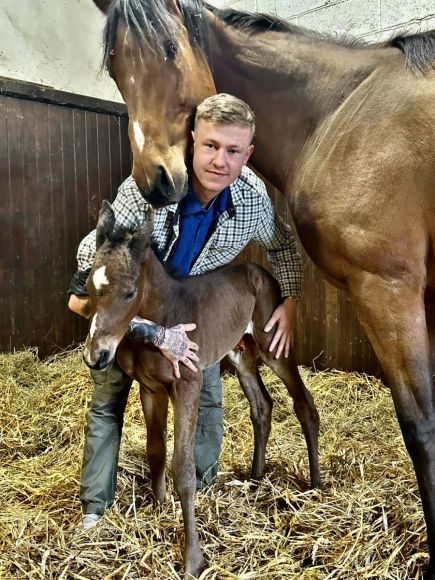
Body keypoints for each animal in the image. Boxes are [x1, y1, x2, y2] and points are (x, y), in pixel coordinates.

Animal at [92, 0, 435, 572]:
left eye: (171, 48)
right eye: (115, 68)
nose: (155, 183)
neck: (335, 114)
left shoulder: (389, 289)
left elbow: (421, 425)